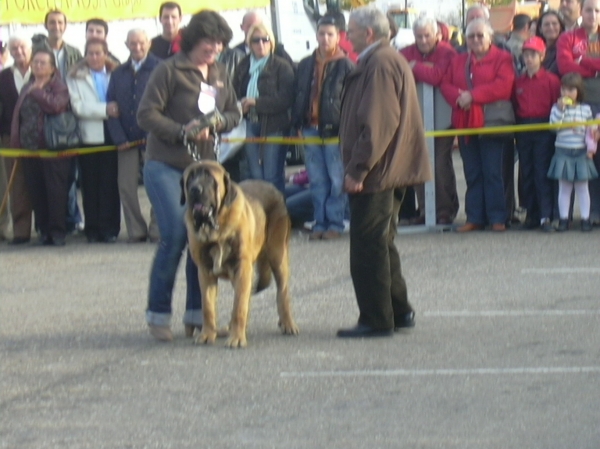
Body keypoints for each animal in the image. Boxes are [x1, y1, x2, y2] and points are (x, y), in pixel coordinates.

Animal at [180, 159, 298, 348]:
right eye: (190, 178)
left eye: (209, 177)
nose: (195, 190)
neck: (215, 228)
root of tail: (272, 187)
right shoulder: (205, 272)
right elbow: (207, 307)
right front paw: (207, 334)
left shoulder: (242, 267)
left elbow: (238, 307)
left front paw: (236, 338)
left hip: (277, 256)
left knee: (282, 293)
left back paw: (287, 323)